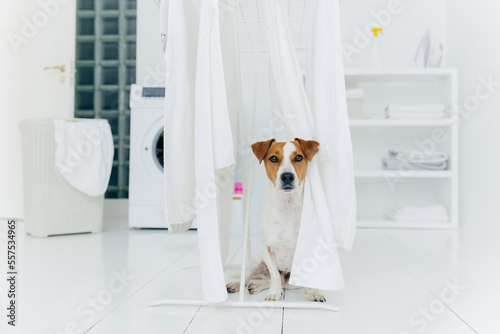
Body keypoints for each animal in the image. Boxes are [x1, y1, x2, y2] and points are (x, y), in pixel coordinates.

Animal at [227, 137, 324, 302]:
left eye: (299, 157)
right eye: (273, 158)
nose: (287, 176)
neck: (287, 207)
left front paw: (313, 291)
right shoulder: (267, 249)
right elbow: (274, 275)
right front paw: (274, 293)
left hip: (292, 281)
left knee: (276, 281)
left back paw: (258, 285)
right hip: (257, 260)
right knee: (251, 276)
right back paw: (238, 284)